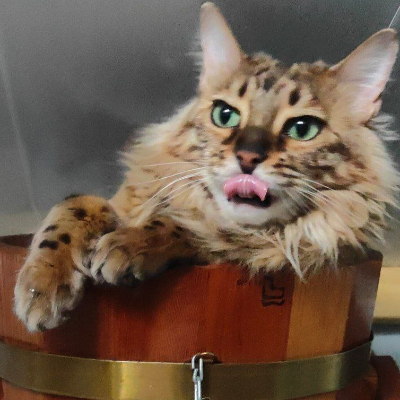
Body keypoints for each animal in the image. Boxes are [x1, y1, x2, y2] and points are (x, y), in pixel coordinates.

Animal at [14, 2, 398, 332]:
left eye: (302, 129)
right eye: (224, 115)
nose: (247, 157)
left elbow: (186, 227)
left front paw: (127, 244)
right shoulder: (118, 199)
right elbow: (74, 207)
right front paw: (40, 287)